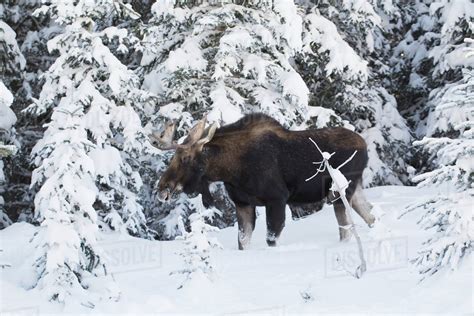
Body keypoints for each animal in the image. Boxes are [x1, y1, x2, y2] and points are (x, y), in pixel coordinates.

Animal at [150, 113, 376, 249]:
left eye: (185, 158)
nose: (162, 188)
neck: (230, 170)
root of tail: (365, 146)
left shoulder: (277, 199)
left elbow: (271, 239)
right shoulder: (243, 203)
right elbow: (243, 242)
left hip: (340, 191)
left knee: (346, 230)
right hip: (354, 189)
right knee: (370, 216)